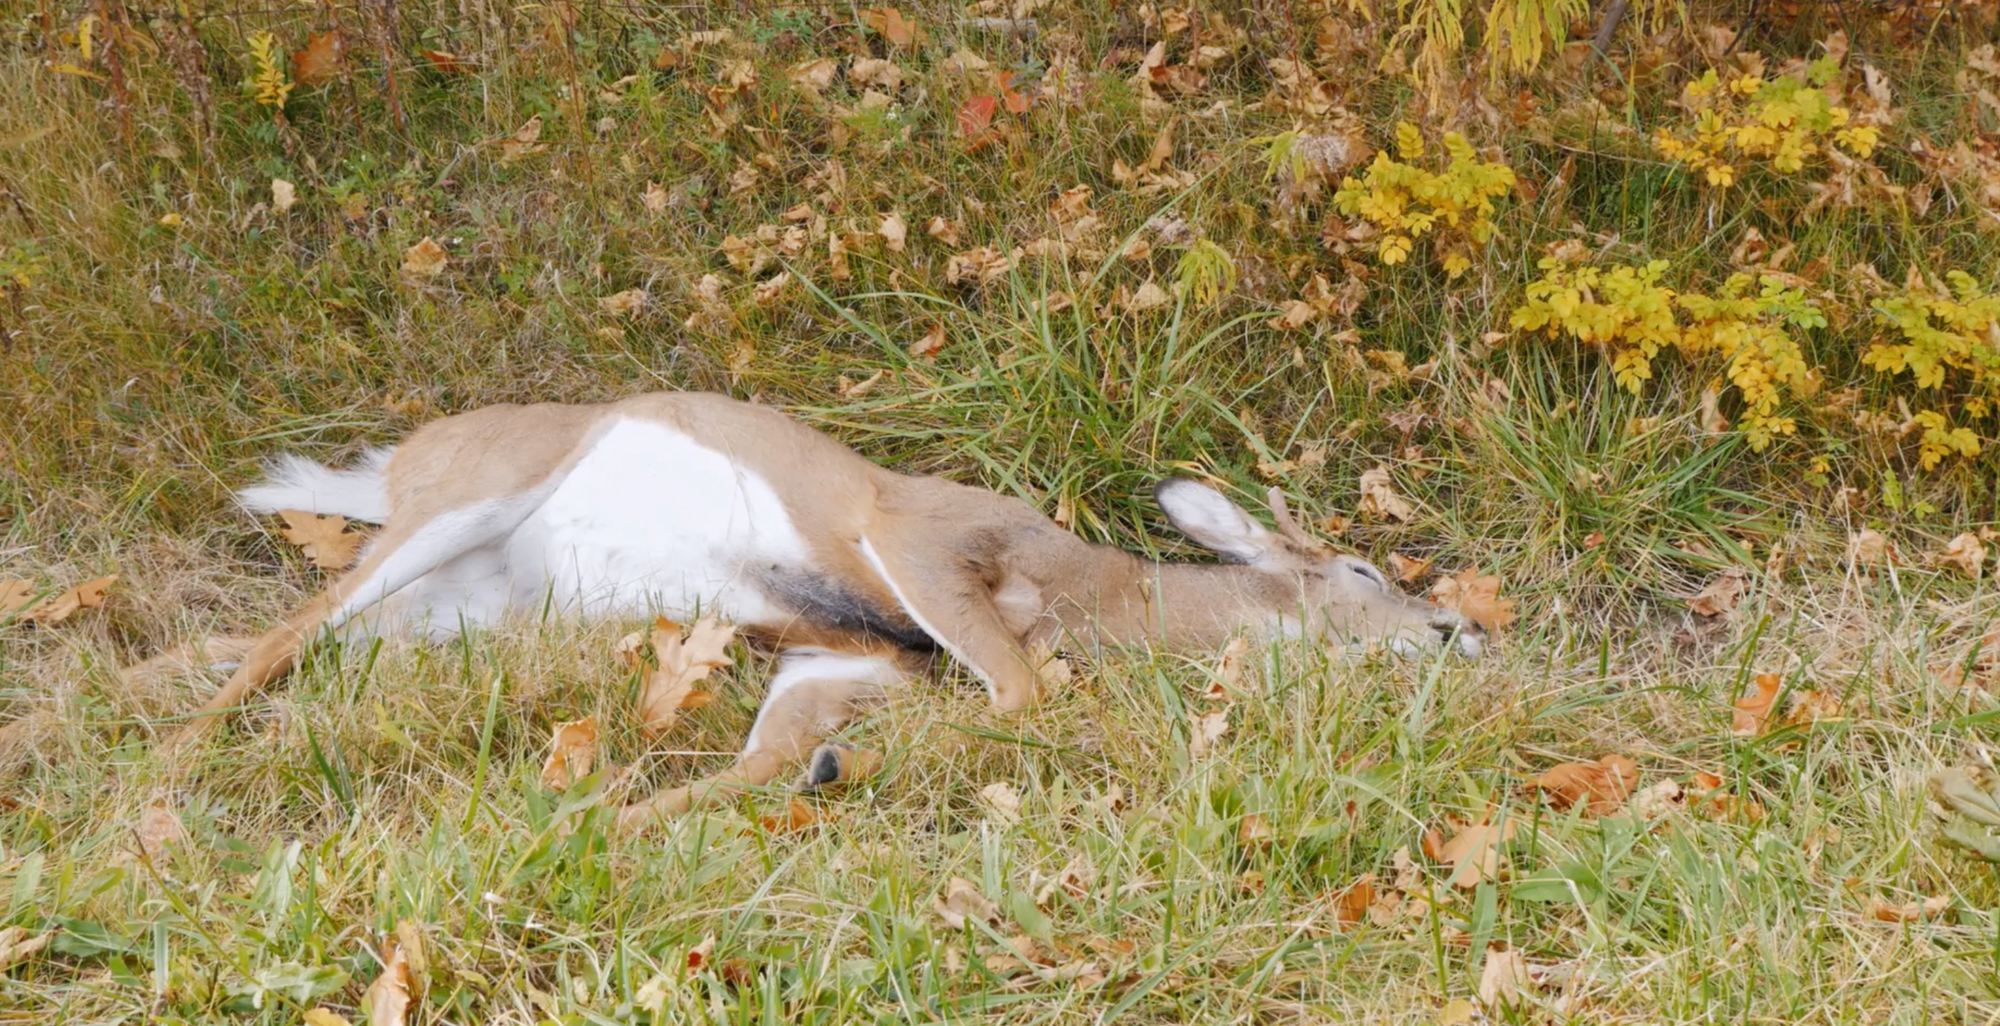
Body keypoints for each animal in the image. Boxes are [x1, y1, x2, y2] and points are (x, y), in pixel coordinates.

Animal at [160, 392, 1488, 824]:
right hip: (464, 503)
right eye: (1362, 575)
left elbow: (753, 765)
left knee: (282, 642)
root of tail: (392, 464)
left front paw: (589, 828)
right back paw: (162, 775)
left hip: (465, 610)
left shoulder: (844, 658)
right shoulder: (916, 534)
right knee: (281, 635)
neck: (1090, 597)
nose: (1460, 630)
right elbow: (1019, 687)